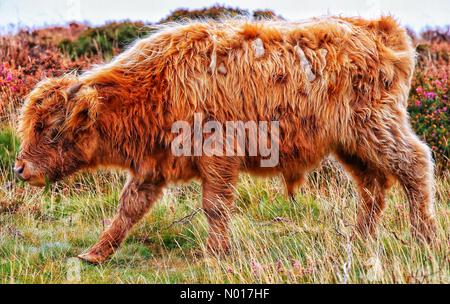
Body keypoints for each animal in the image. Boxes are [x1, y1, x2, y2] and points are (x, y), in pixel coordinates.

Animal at [14, 17, 436, 264]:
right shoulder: (152, 165)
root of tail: (380, 28)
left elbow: (214, 206)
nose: (20, 168)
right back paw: (359, 239)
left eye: (51, 130)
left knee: (414, 164)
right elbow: (128, 209)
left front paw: (216, 253)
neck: (155, 85)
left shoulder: (217, 155)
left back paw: (424, 238)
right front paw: (93, 255)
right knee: (373, 185)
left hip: (376, 127)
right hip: (350, 145)